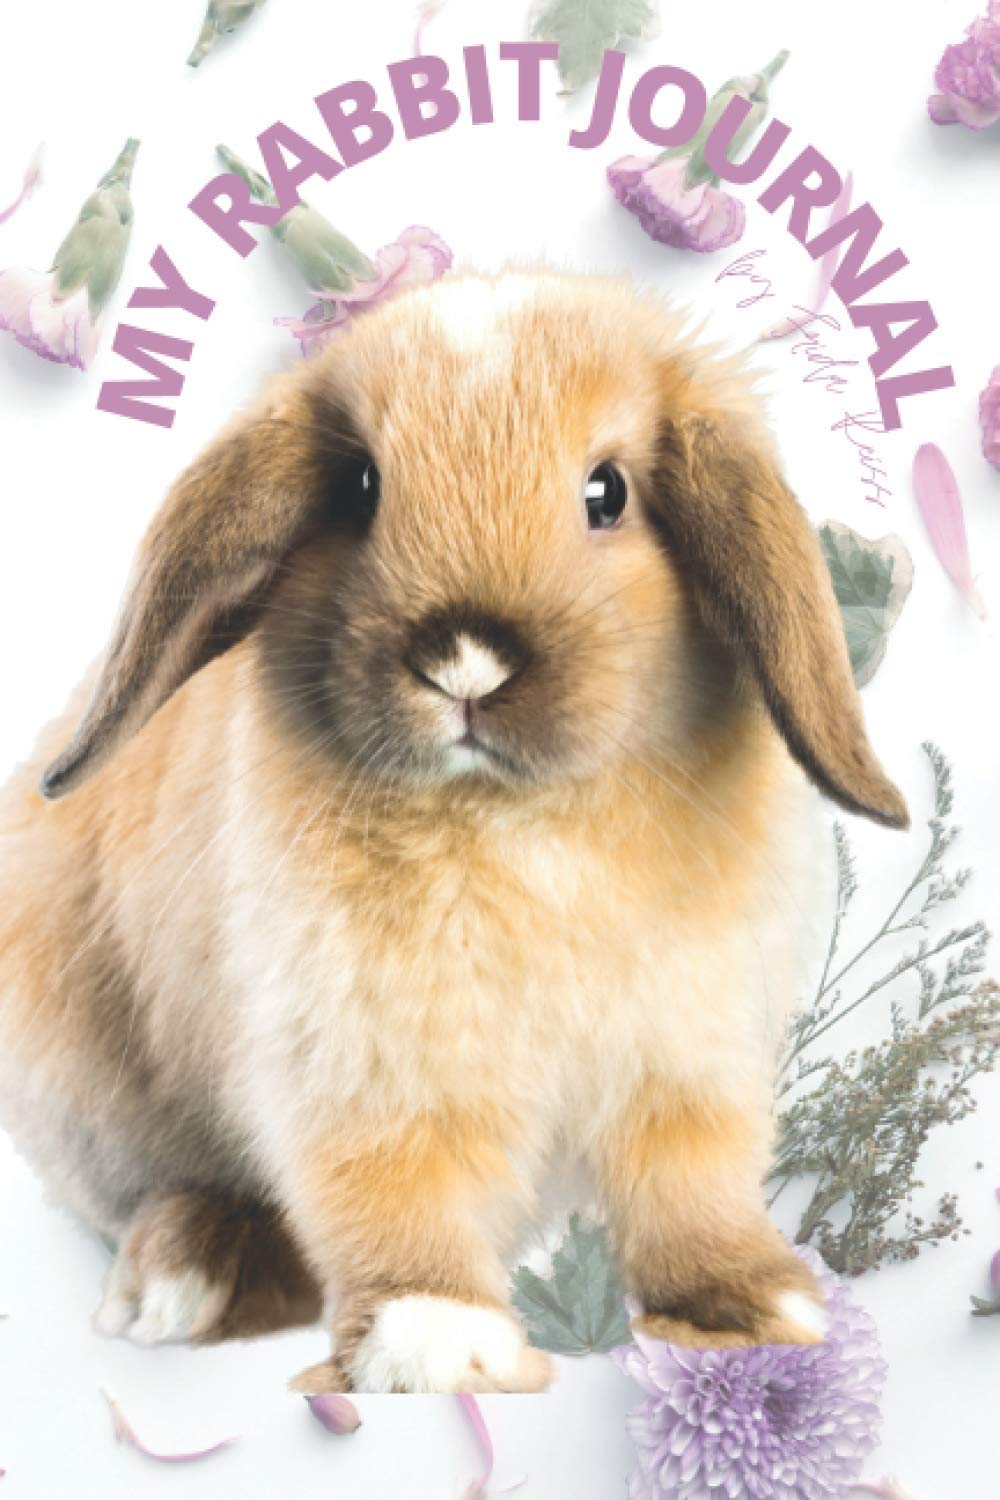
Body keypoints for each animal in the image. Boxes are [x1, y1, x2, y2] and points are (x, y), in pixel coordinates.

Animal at [0, 269, 907, 1393]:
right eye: (358, 488)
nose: (466, 658)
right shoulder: (359, 1064)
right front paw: (436, 1341)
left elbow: (688, 1185)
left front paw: (757, 1306)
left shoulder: (688, 1059)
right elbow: (387, 1189)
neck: (517, 817)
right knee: (180, 1195)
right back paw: (191, 1277)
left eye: (607, 493)